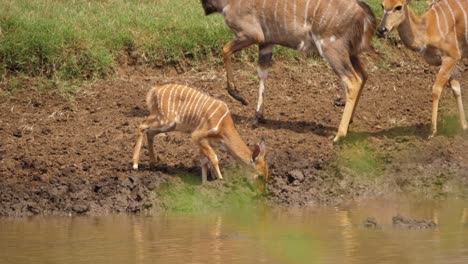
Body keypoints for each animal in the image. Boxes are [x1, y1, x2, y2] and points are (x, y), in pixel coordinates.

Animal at [133, 84, 270, 190]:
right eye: (260, 176)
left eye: (267, 175)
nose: (260, 193)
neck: (224, 127)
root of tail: (153, 91)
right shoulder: (197, 136)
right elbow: (214, 158)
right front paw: (221, 181)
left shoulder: (203, 142)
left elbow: (204, 161)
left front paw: (204, 184)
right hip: (165, 120)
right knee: (142, 125)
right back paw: (135, 165)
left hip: (168, 125)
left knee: (149, 132)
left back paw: (152, 164)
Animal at [201, 0, 376, 142]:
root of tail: (363, 10)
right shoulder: (266, 42)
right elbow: (262, 73)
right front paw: (258, 116)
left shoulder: (250, 34)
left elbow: (225, 50)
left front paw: (238, 96)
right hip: (350, 53)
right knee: (364, 76)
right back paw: (350, 123)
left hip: (331, 48)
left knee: (352, 80)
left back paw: (339, 135)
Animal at [376, 1, 468, 138]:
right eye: (382, 5)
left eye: (398, 7)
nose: (381, 30)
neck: (427, 29)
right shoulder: (452, 61)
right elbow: (456, 89)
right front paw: (464, 127)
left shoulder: (451, 56)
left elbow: (436, 89)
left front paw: (432, 131)